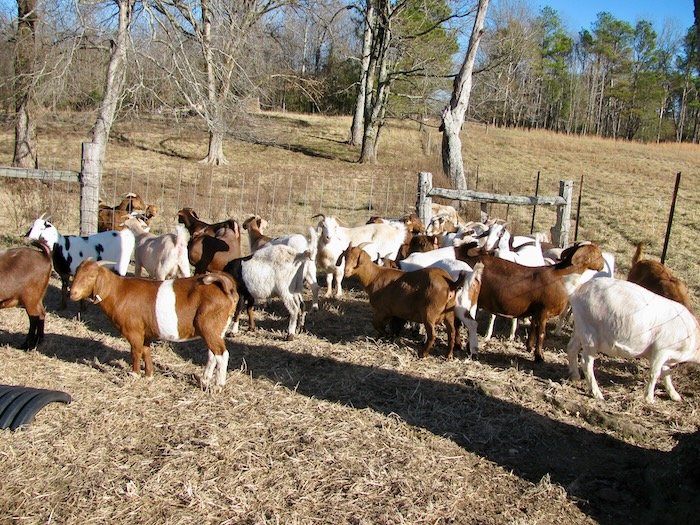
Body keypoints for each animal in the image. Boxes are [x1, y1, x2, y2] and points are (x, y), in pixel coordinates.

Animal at [69, 260, 238, 390]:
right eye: (76, 273)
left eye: (91, 276)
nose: (72, 293)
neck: (117, 292)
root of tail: (226, 287)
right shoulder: (146, 332)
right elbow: (146, 351)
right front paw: (149, 376)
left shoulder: (133, 331)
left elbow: (136, 351)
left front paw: (134, 375)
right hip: (218, 330)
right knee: (213, 354)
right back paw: (204, 380)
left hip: (208, 327)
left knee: (222, 354)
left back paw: (218, 386)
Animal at [337, 245, 483, 359]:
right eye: (345, 257)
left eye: (356, 258)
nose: (346, 272)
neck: (376, 275)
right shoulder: (393, 311)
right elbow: (389, 324)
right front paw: (385, 337)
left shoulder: (383, 310)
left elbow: (378, 324)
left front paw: (386, 336)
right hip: (452, 312)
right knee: (452, 331)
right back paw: (450, 354)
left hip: (433, 313)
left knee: (440, 333)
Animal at [567, 278, 700, 402]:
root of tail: (577, 290)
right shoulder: (661, 349)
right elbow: (655, 373)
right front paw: (649, 398)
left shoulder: (667, 356)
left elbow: (666, 374)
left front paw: (674, 395)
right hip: (590, 334)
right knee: (586, 361)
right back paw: (597, 393)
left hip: (580, 327)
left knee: (572, 348)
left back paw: (575, 376)